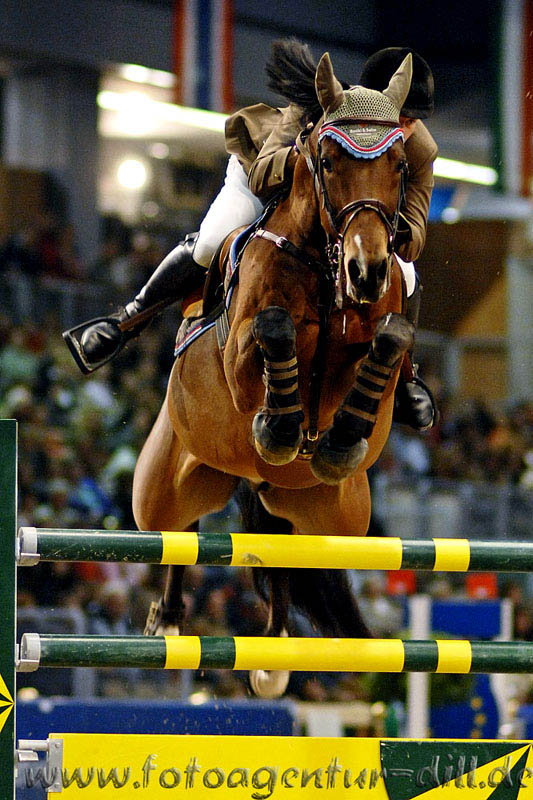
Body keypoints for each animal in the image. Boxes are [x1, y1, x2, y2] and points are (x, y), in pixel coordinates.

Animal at [132, 48, 412, 692]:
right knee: (174, 531)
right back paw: (171, 618)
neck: (323, 267)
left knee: (286, 552)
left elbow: (386, 344)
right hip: (163, 481)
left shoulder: (371, 354)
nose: (367, 270)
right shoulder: (241, 359)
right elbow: (274, 331)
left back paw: (276, 646)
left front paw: (337, 440)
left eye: (401, 165)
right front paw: (280, 429)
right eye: (329, 161)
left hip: (336, 518)